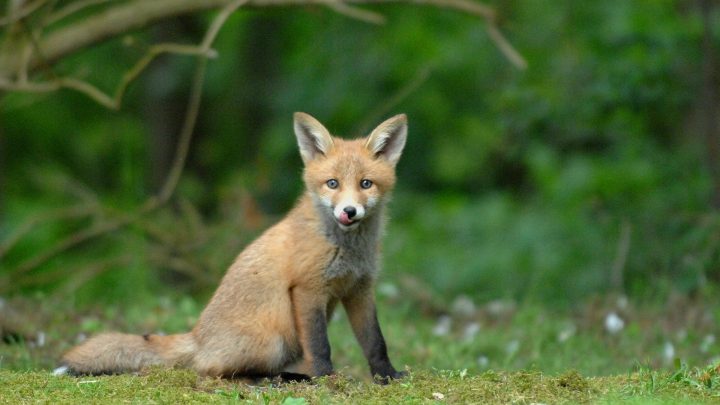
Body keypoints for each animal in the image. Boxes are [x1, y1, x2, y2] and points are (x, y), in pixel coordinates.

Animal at [55, 111, 404, 382]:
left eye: (365, 184)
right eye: (332, 184)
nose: (349, 212)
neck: (347, 249)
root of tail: (197, 336)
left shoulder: (359, 289)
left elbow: (376, 341)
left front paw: (388, 376)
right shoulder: (307, 289)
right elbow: (320, 346)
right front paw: (325, 378)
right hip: (275, 340)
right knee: (212, 370)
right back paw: (279, 378)